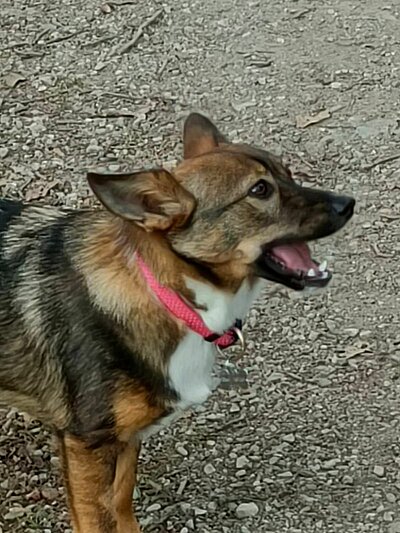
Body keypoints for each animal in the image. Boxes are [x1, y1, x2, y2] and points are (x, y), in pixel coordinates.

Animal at [0, 113, 354, 532]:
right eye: (260, 189)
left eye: (288, 173)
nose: (349, 204)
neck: (167, 294)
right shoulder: (87, 444)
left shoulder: (127, 438)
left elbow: (121, 500)